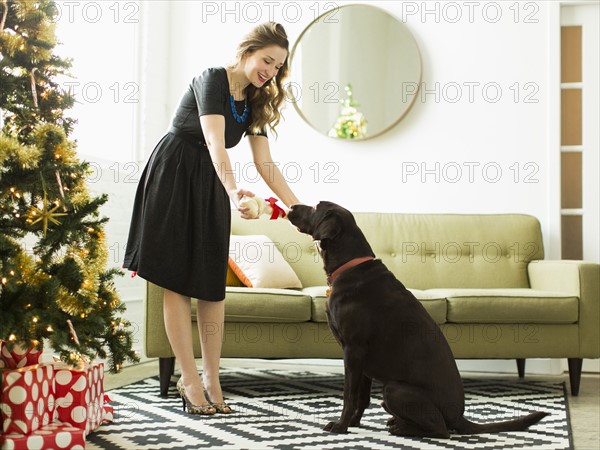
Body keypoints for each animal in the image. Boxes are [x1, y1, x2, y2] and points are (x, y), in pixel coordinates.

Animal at [288, 202, 548, 438]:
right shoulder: (360, 359)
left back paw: (403, 428)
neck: (350, 265)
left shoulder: (353, 350)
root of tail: (459, 416)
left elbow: (349, 395)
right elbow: (361, 397)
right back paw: (396, 422)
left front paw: (340, 427)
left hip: (394, 388)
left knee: (441, 430)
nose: (291, 206)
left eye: (315, 207)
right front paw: (352, 424)